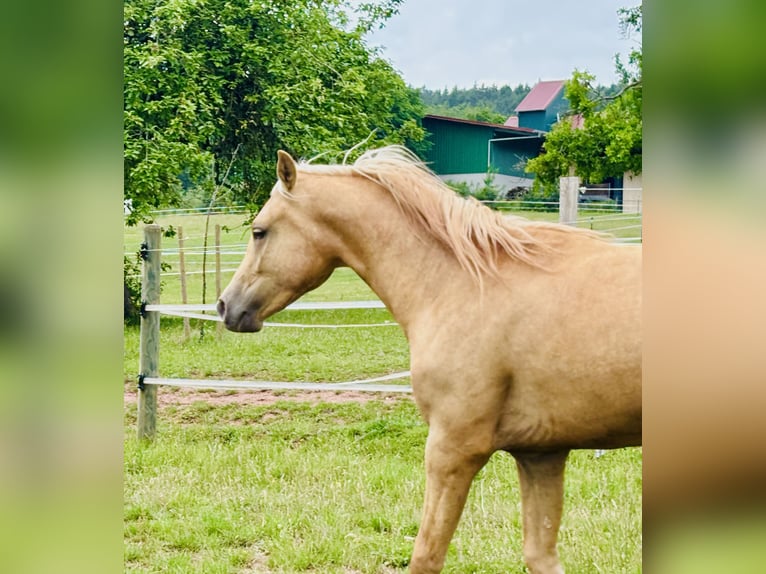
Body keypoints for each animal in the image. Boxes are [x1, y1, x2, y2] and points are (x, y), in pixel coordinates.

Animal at [217, 145, 641, 573]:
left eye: (259, 231)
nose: (225, 306)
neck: (464, 283)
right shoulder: (541, 454)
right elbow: (541, 556)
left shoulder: (452, 450)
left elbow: (426, 555)